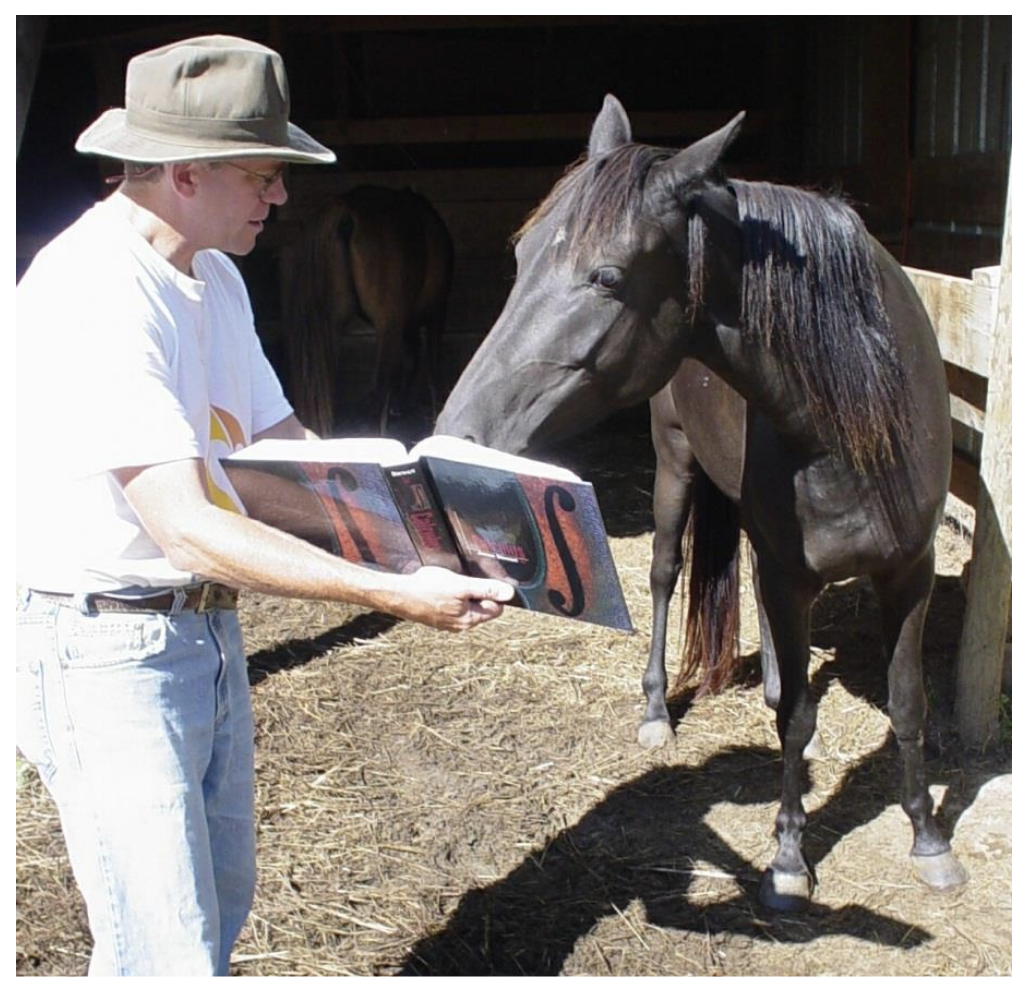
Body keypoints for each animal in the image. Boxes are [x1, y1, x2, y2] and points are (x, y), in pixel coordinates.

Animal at [282, 184, 454, 436]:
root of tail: (345, 210)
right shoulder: (435, 314)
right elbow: (430, 368)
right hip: (389, 326)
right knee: (376, 397)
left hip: (331, 328)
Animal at [436, 95, 967, 909]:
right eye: (522, 259)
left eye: (608, 276)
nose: (455, 438)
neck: (855, 421)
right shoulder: (788, 568)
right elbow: (789, 717)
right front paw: (788, 859)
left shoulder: (909, 570)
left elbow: (906, 703)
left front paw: (929, 840)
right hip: (676, 470)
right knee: (664, 575)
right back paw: (657, 710)